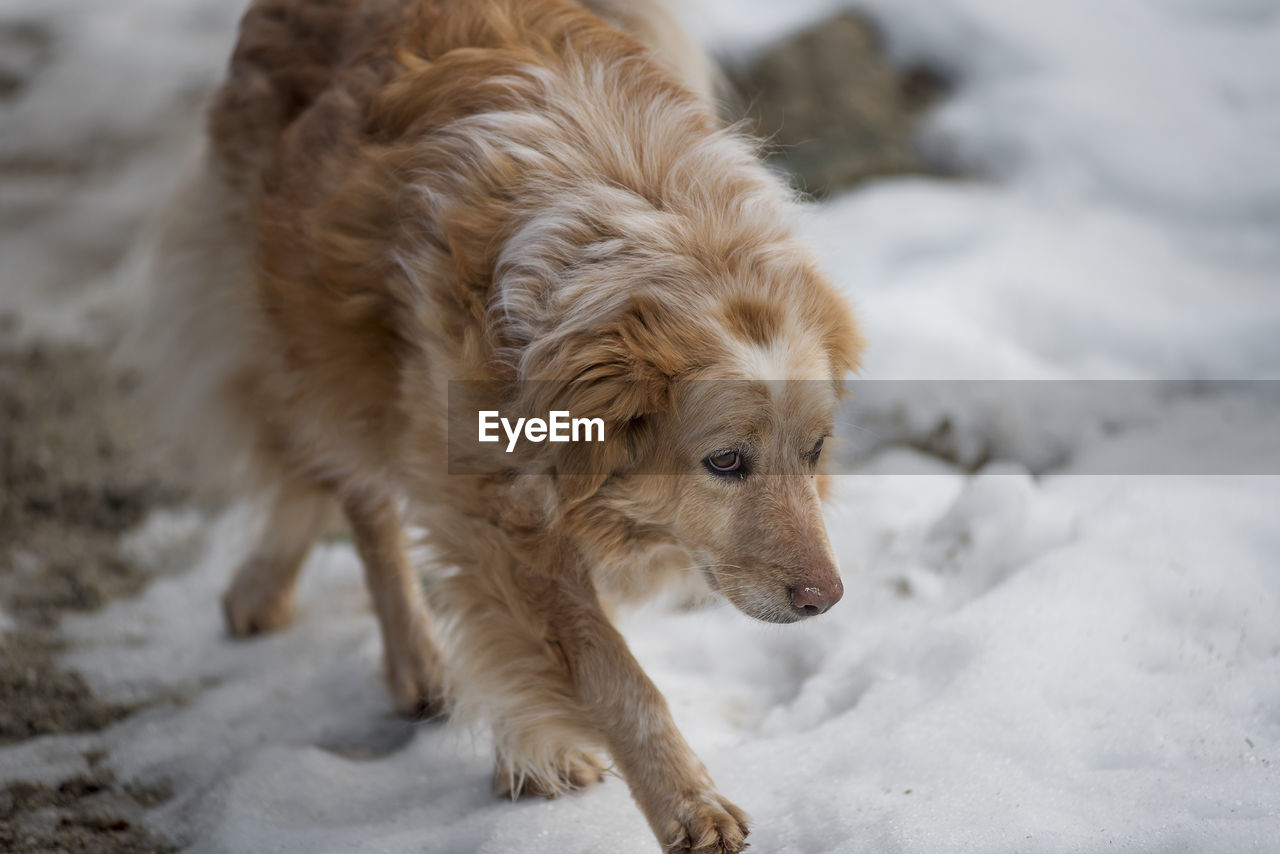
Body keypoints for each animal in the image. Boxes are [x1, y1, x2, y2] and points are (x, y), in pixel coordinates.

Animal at [129, 3, 860, 850]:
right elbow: (610, 671)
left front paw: (531, 754)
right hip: (310, 320)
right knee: (355, 487)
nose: (825, 600)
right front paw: (686, 803)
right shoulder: (490, 502)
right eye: (726, 462)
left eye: (815, 451)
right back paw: (400, 652)